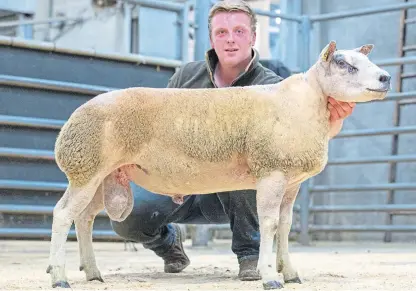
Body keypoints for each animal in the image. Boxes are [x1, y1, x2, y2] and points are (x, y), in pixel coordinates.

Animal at [47, 40, 392, 290]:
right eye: (344, 64)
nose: (386, 78)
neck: (305, 103)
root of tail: (71, 124)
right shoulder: (272, 171)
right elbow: (269, 225)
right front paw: (270, 276)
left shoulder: (292, 181)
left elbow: (285, 226)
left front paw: (291, 273)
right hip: (86, 167)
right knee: (63, 215)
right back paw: (59, 276)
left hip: (101, 174)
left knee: (84, 219)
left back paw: (92, 272)